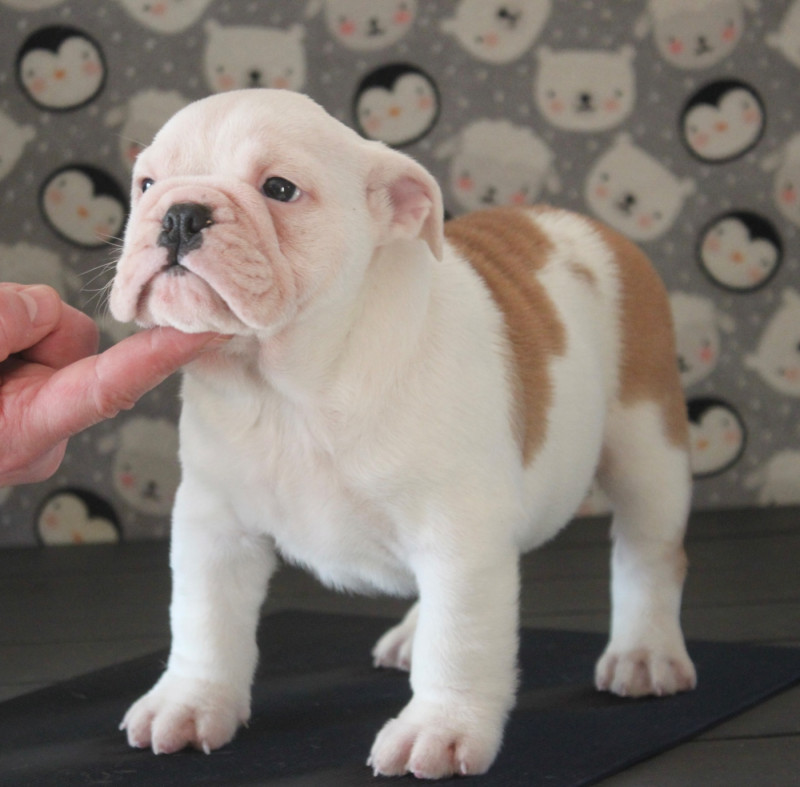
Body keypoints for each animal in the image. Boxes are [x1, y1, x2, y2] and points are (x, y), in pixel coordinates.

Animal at [109, 89, 696, 779]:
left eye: (279, 188)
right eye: (147, 184)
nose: (179, 214)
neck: (291, 387)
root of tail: (585, 227)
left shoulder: (459, 532)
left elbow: (461, 638)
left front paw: (439, 728)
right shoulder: (214, 523)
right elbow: (203, 620)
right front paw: (190, 702)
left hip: (646, 443)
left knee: (646, 554)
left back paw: (645, 652)